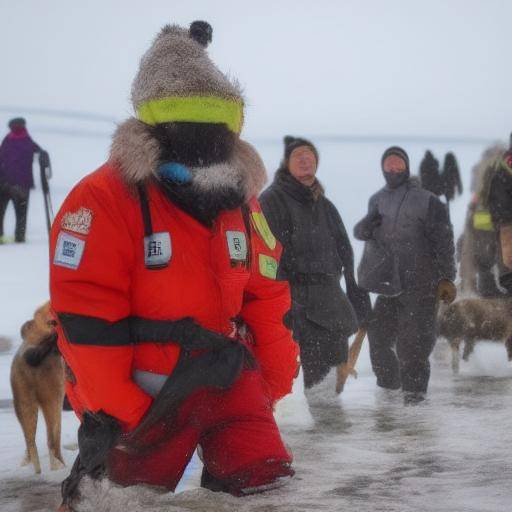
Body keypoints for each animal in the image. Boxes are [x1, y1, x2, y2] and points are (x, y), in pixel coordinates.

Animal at [9, 302, 65, 474]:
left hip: (23, 398)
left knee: (30, 438)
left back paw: (36, 469)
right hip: (52, 397)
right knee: (51, 438)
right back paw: (58, 466)